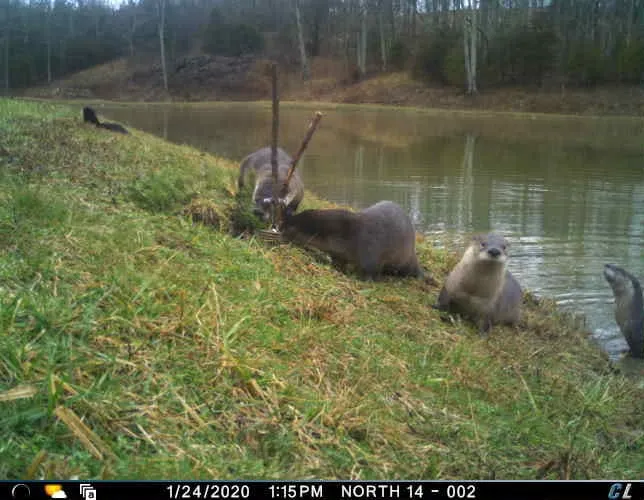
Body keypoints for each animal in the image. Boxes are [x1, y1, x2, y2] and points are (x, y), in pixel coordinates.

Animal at [281, 200, 423, 281]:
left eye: (288, 227)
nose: (279, 230)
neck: (350, 235)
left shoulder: (370, 251)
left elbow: (371, 272)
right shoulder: (338, 253)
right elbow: (338, 262)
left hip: (405, 258)